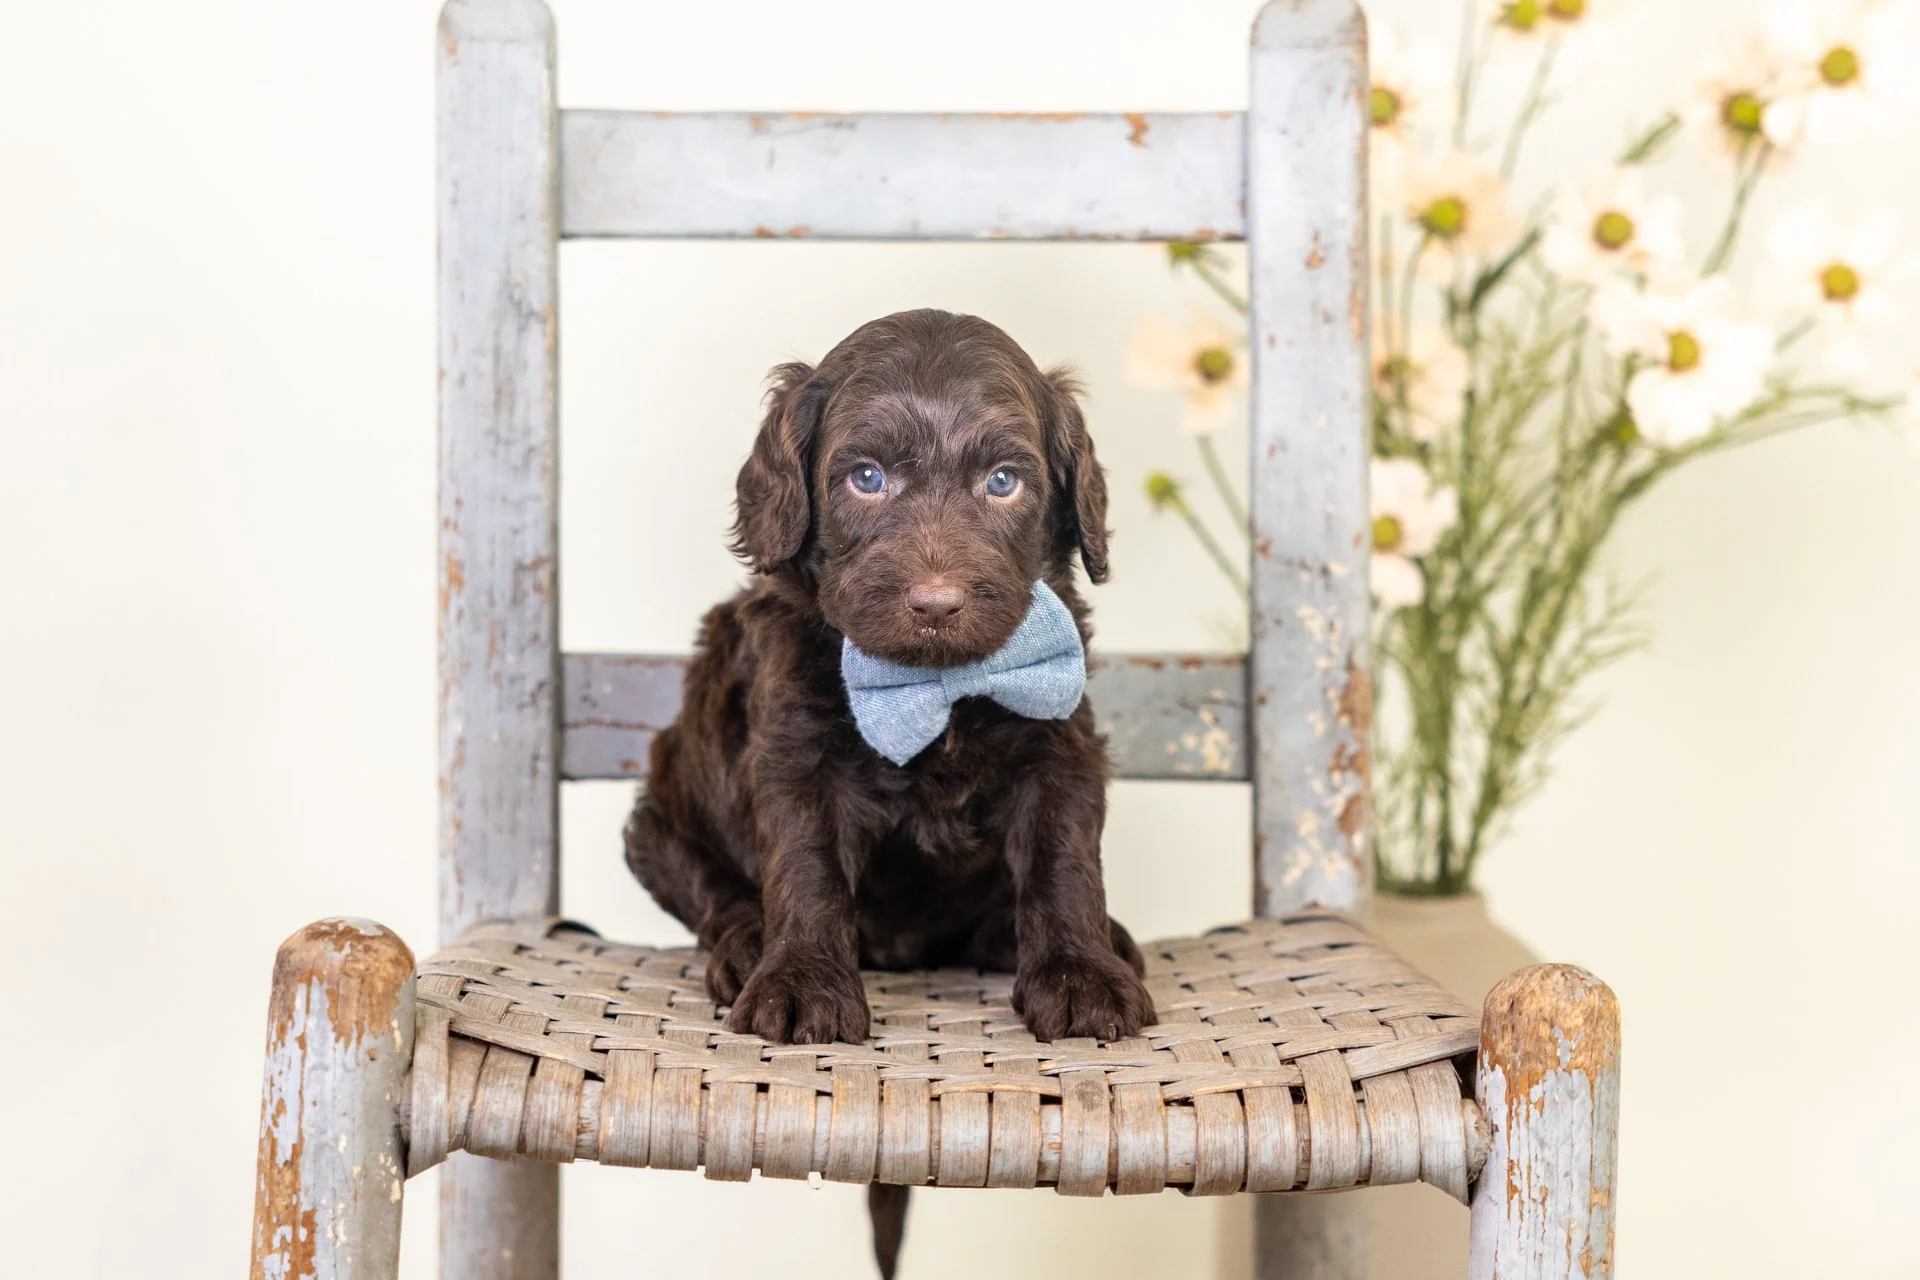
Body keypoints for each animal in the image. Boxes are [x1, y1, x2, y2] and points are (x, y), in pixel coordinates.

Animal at [624, 309, 1153, 1054]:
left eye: (1003, 481)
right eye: (866, 478)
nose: (935, 604)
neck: (934, 687)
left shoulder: (1058, 743)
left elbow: (1063, 860)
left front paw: (1081, 973)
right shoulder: (796, 752)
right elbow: (807, 864)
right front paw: (802, 984)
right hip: (662, 819)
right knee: (712, 892)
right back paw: (748, 945)